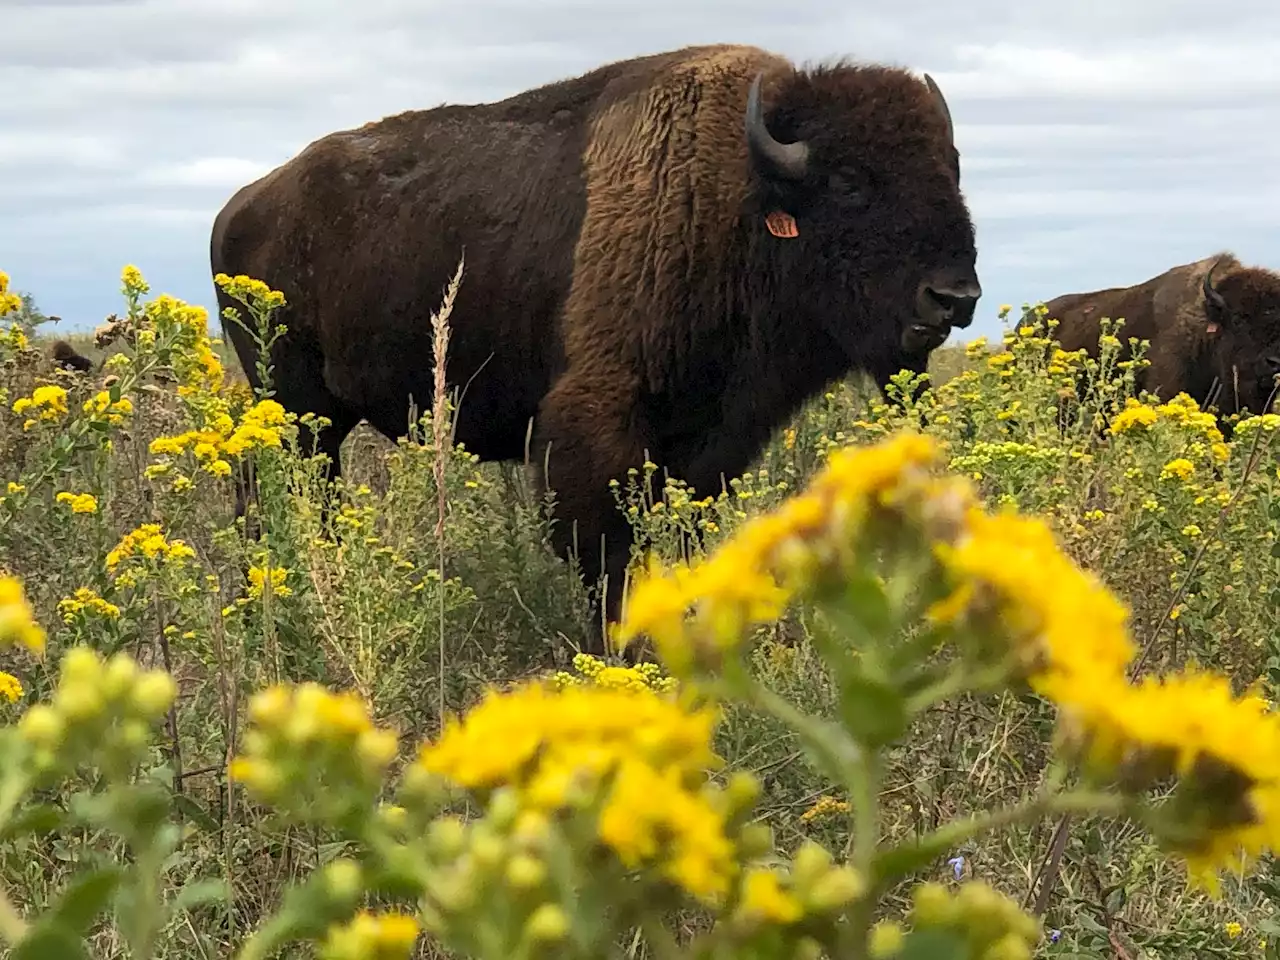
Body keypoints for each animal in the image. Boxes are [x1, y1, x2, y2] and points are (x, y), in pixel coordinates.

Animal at [215, 41, 983, 650]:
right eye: (851, 181)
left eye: (952, 169)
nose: (954, 297)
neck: (737, 200)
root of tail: (241, 206)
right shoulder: (597, 424)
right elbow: (607, 551)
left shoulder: (709, 443)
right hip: (295, 406)